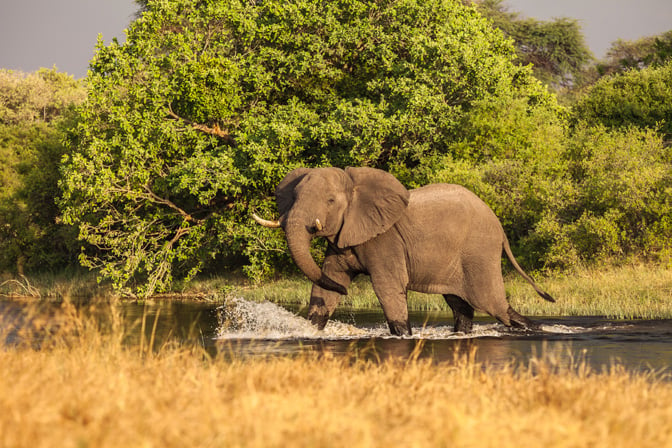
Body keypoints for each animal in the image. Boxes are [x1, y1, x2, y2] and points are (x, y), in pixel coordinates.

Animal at [252, 168, 552, 336]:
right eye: (294, 197)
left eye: (330, 200)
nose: (347, 292)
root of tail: (500, 228)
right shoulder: (341, 239)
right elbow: (326, 285)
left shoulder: (385, 241)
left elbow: (387, 287)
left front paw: (403, 335)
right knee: (460, 305)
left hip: (479, 251)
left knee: (493, 305)